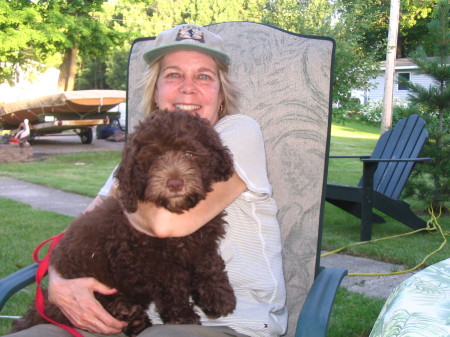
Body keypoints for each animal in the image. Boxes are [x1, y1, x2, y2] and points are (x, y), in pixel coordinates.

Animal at [10, 109, 236, 334]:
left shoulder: (202, 239)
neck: (176, 210)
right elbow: (174, 288)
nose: (174, 184)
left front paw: (219, 296)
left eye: (190, 153)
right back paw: (126, 311)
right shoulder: (157, 263)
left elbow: (208, 263)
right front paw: (183, 317)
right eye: (154, 157)